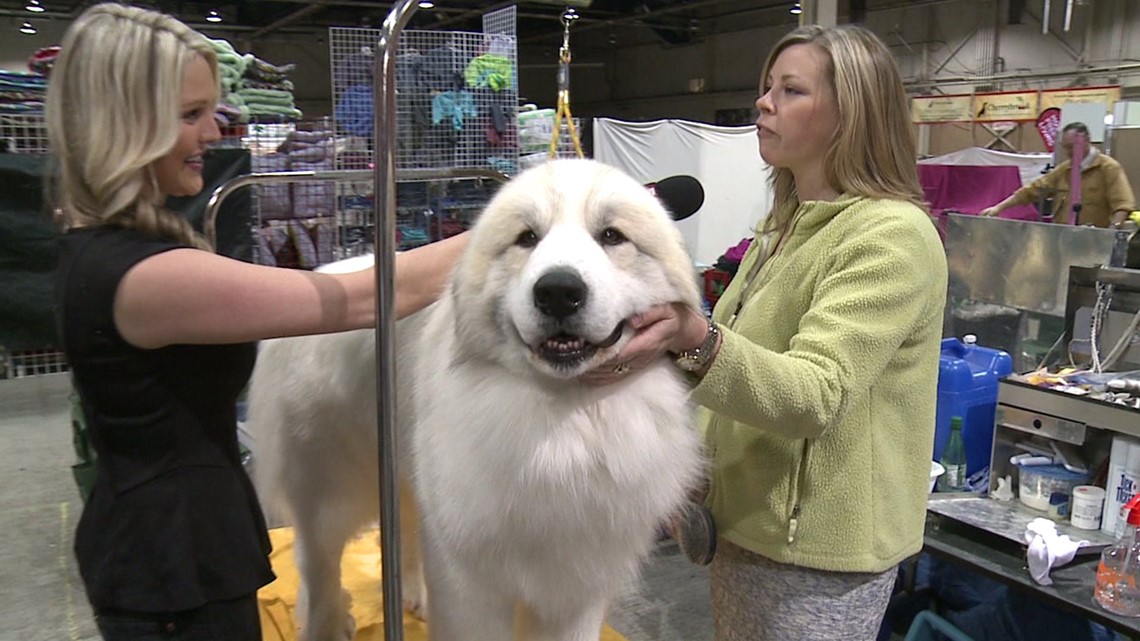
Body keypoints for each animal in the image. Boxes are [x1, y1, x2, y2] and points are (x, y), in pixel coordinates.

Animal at [251, 158, 702, 638]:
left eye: (612, 236)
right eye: (527, 238)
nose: (558, 291)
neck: (561, 420)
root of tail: (320, 275)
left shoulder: (576, 585)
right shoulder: (469, 582)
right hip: (332, 489)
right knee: (318, 566)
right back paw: (332, 622)